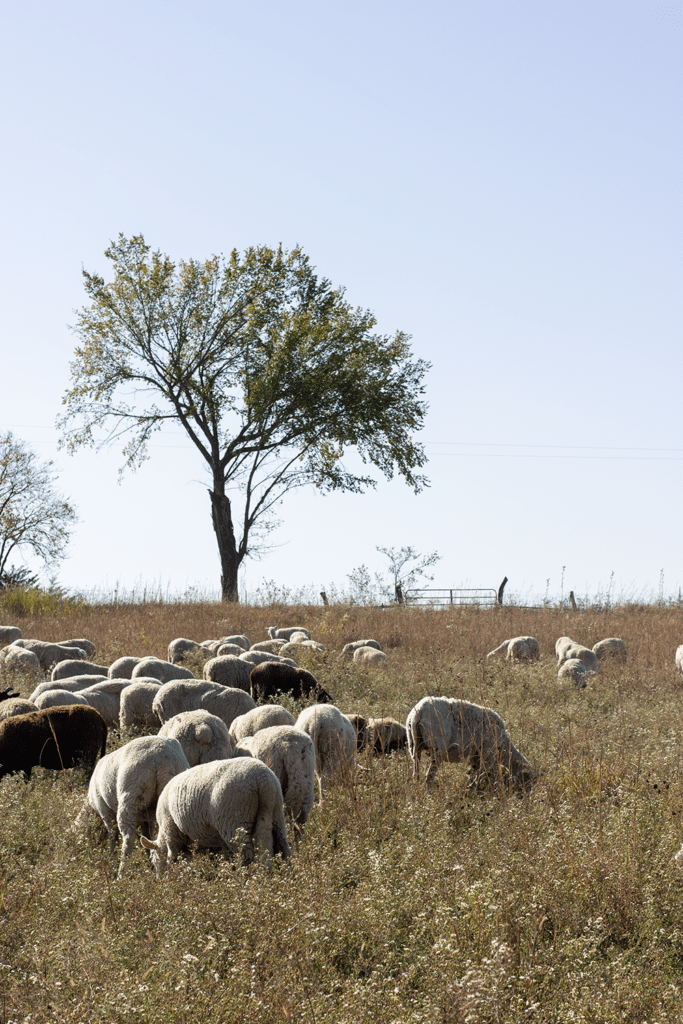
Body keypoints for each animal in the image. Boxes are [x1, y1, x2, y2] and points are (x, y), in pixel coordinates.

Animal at [73, 737, 191, 880]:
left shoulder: (105, 811)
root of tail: (164, 761)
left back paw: (121, 873)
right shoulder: (148, 817)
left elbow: (113, 836)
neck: (91, 805)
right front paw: (150, 863)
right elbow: (147, 837)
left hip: (130, 797)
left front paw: (112, 859)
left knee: (128, 839)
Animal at [141, 761, 290, 872]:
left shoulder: (171, 832)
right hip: (275, 814)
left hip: (235, 821)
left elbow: (173, 858)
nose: (159, 880)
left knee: (247, 856)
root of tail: (262, 780)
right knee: (283, 850)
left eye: (154, 862)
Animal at [403, 696, 536, 790]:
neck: (504, 748)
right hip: (437, 747)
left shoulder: (476, 757)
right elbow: (484, 775)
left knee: (416, 772)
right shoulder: (487, 755)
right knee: (429, 777)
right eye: (528, 782)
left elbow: (479, 773)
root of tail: (418, 713)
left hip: (413, 744)